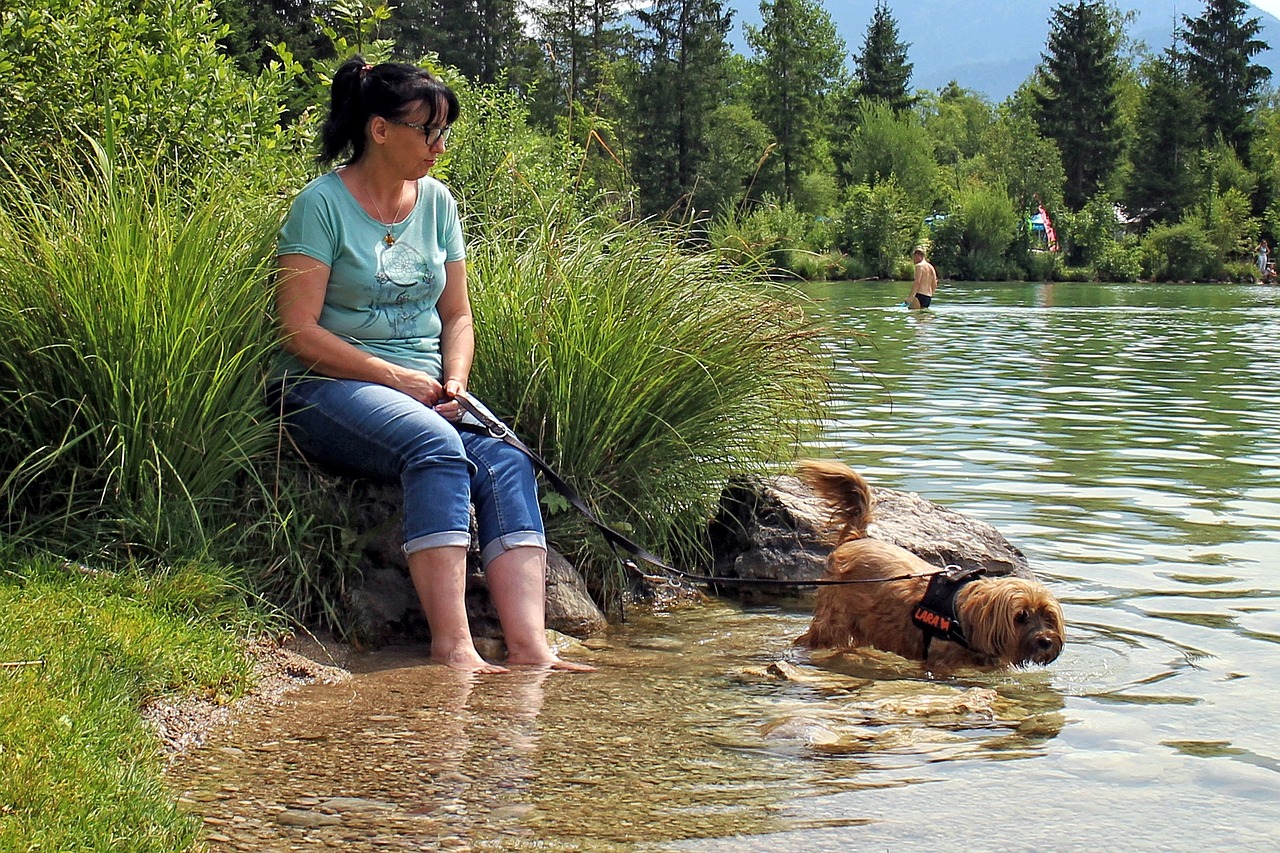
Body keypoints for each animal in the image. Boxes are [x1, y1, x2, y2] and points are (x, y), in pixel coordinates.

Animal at [793, 458, 1064, 671]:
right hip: (833, 620)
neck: (967, 618)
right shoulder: (940, 661)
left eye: (1048, 616)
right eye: (1021, 616)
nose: (1045, 641)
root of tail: (855, 538)